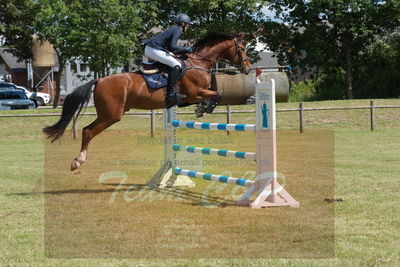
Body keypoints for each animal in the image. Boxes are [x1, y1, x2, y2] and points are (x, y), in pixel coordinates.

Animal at [42, 31, 252, 171]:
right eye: (242, 48)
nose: (248, 68)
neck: (198, 63)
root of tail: (99, 80)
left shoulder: (190, 97)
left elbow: (212, 95)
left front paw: (201, 109)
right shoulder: (195, 92)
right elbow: (217, 95)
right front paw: (204, 109)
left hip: (108, 114)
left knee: (87, 130)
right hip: (111, 115)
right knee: (87, 131)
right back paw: (78, 161)